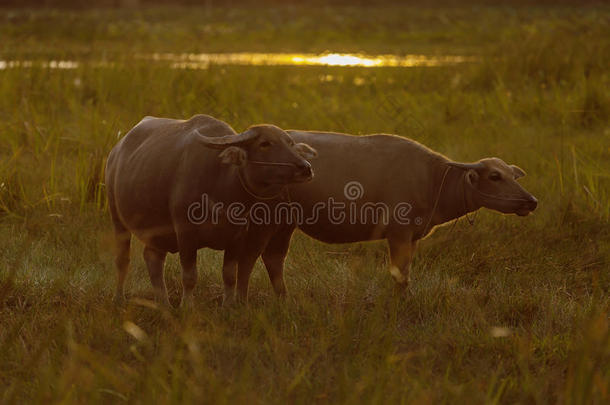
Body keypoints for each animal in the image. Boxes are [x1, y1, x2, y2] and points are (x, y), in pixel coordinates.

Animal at [104, 114, 314, 306]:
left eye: (290, 143)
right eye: (265, 143)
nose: (305, 168)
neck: (221, 187)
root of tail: (115, 152)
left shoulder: (237, 237)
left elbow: (230, 275)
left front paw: (228, 307)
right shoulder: (185, 232)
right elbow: (190, 276)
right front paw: (187, 306)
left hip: (157, 232)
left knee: (152, 258)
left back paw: (164, 303)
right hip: (117, 218)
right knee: (123, 260)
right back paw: (119, 298)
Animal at [258, 129, 536, 290]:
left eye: (513, 176)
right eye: (495, 176)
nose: (531, 201)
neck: (433, 180)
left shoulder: (413, 237)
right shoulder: (398, 233)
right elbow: (400, 276)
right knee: (272, 259)